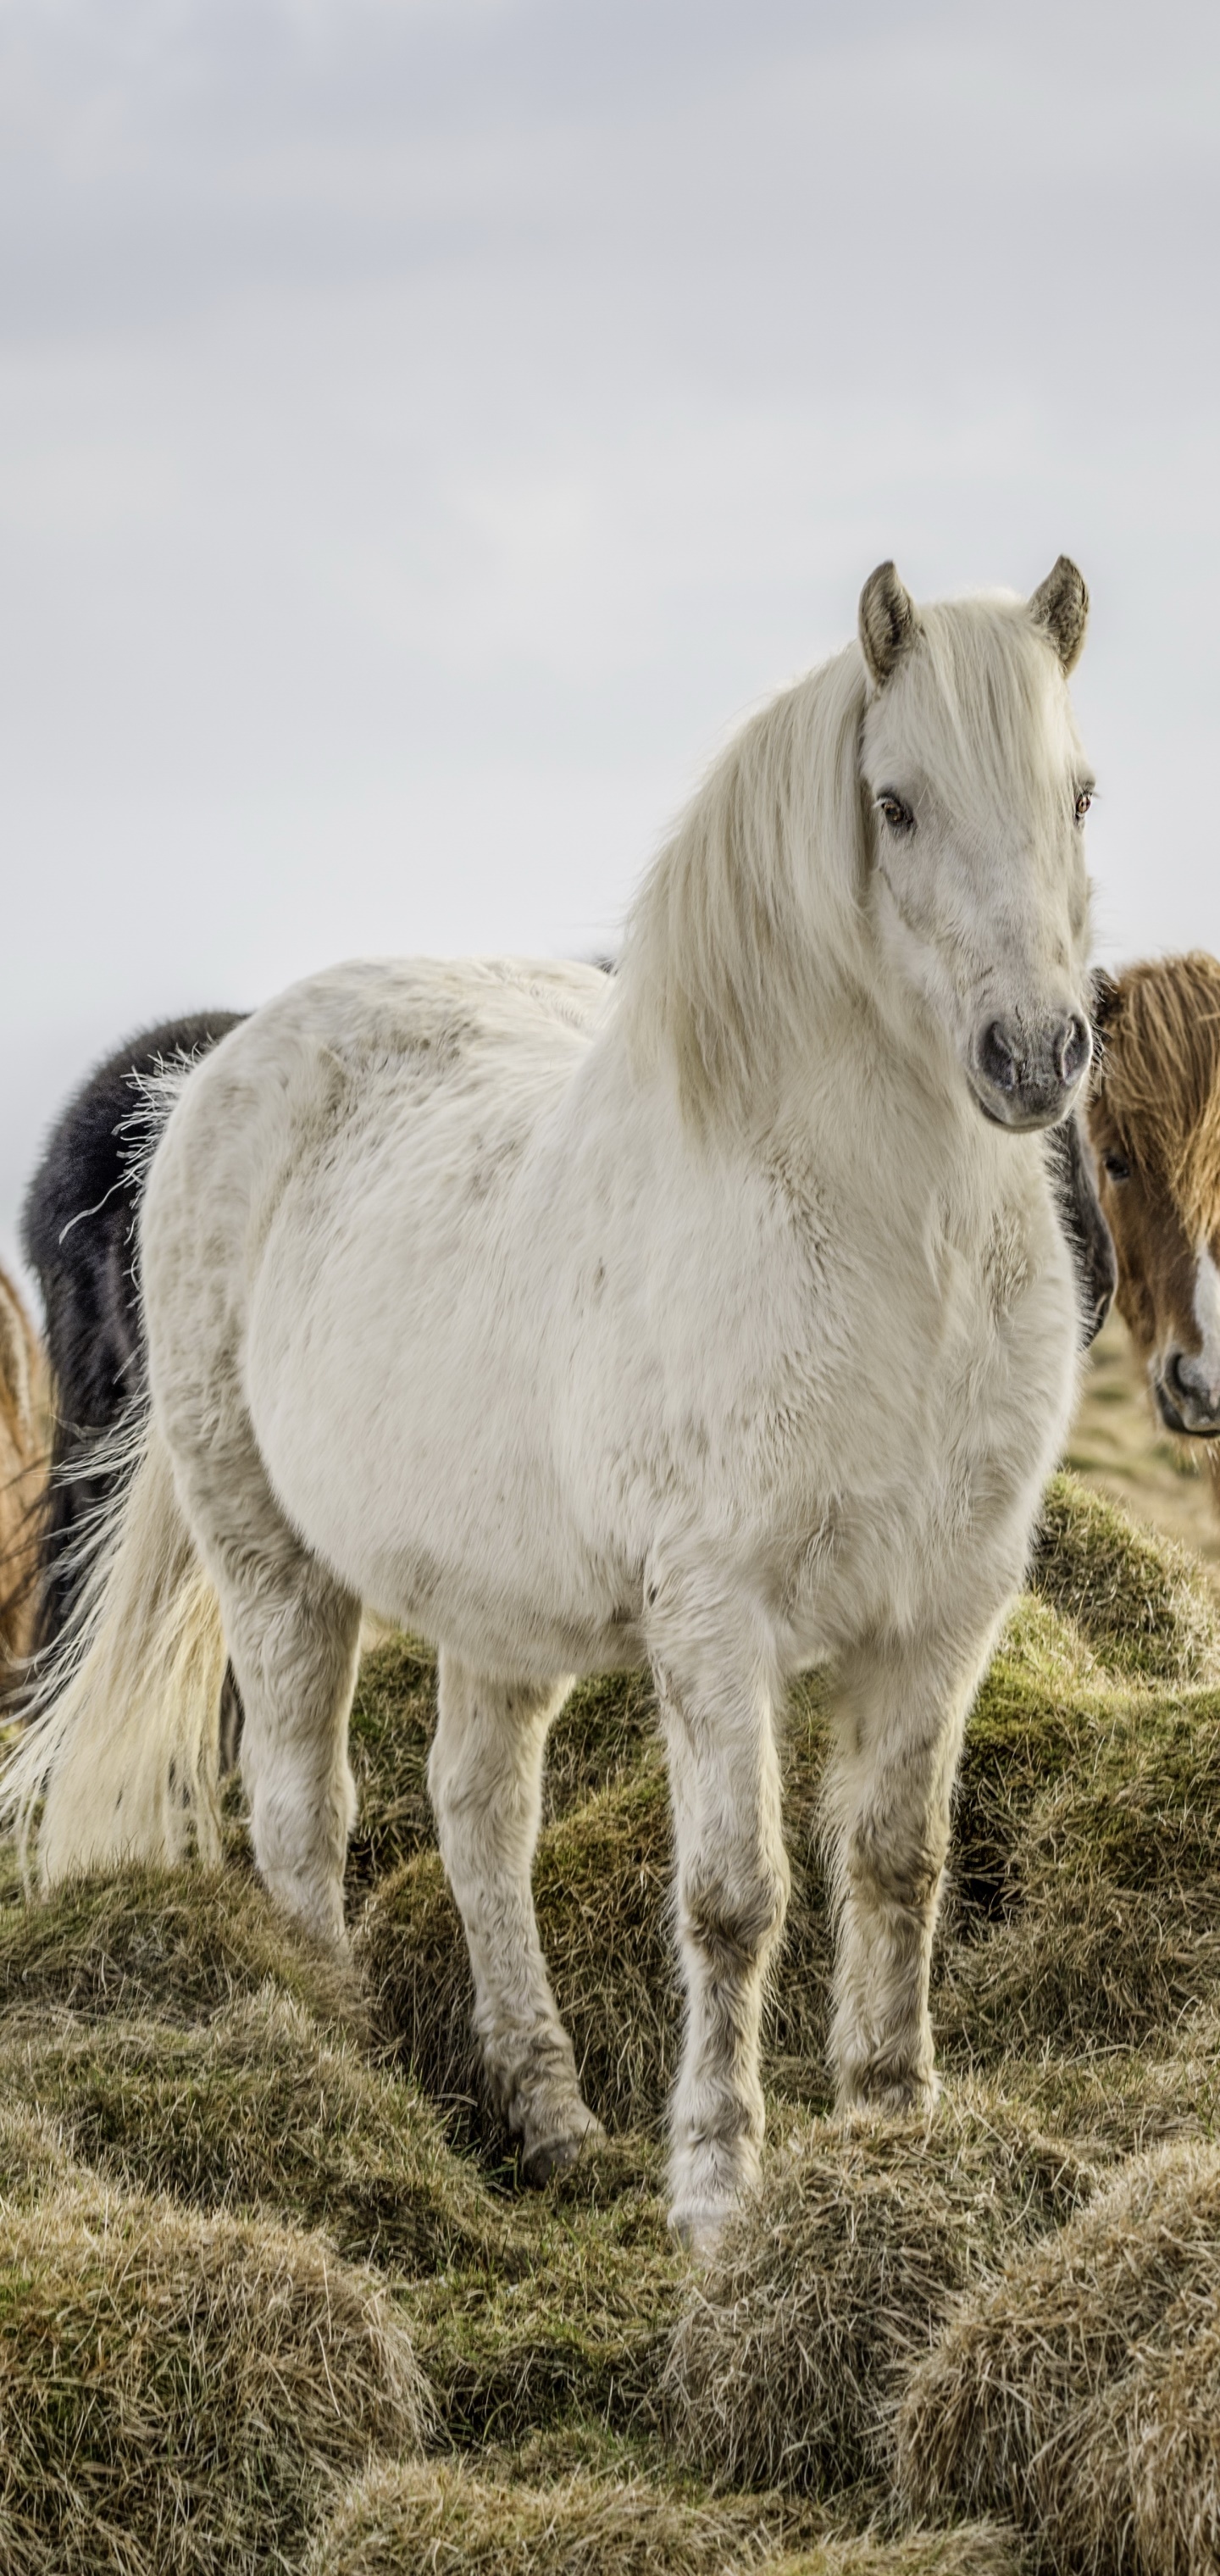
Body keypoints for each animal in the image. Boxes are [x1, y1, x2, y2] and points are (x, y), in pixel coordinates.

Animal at [3, 557, 1097, 2250]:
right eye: (896, 804)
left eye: (1080, 794)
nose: (1035, 1057)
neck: (881, 1245)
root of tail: (214, 1074)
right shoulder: (717, 1620)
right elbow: (735, 1899)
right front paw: (716, 2195)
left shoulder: (947, 1612)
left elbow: (895, 1864)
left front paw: (892, 2131)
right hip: (273, 1561)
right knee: (304, 1807)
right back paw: (346, 2064)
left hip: (491, 1604)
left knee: (477, 1814)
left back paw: (551, 2114)